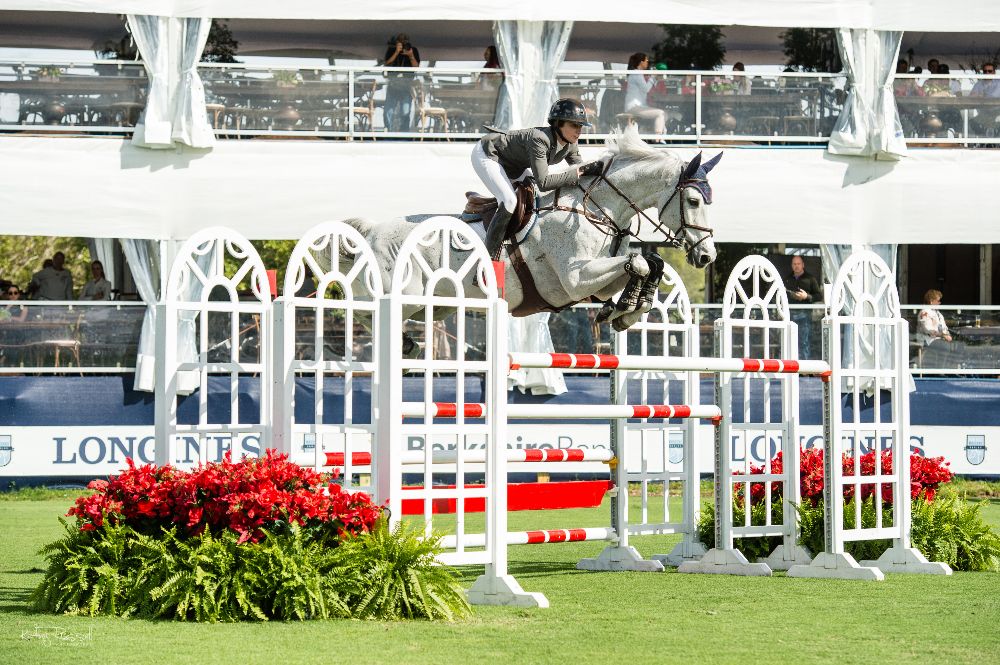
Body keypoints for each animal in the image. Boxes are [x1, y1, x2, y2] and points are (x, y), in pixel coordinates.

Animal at [344, 125, 720, 334]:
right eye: (693, 201)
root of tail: (373, 230)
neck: (595, 209)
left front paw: (626, 310)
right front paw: (627, 306)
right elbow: (640, 263)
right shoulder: (575, 280)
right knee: (362, 313)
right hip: (400, 296)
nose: (706, 256)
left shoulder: (594, 284)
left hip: (436, 305)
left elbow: (648, 263)